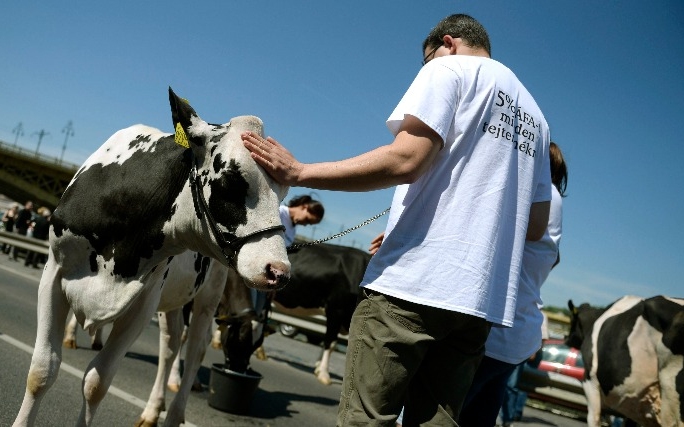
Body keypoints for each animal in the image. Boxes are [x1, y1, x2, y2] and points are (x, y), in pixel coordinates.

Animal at [11, 88, 288, 427]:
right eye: (230, 182)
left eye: (284, 192)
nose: (279, 270)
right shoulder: (54, 275)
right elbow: (41, 370)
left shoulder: (142, 304)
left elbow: (96, 383)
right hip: (175, 299)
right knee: (171, 344)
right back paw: (154, 409)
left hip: (208, 294)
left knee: (195, 349)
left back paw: (173, 414)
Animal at [568, 296, 684, 426]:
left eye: (571, 321)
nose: (566, 339)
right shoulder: (638, 400)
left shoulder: (590, 379)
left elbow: (594, 418)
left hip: (671, 393)